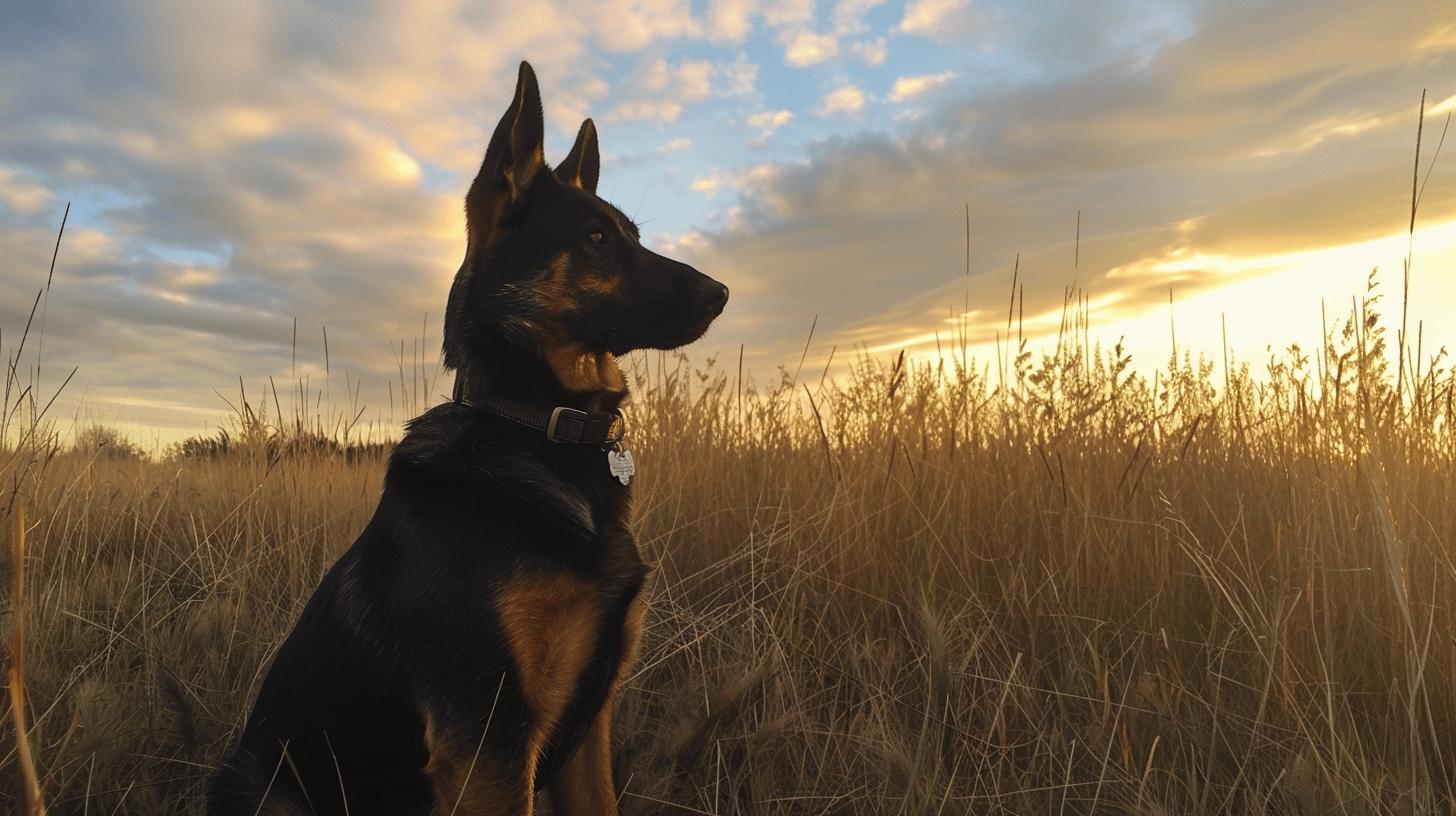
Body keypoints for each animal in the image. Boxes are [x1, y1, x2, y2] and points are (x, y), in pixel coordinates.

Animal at [208, 60, 728, 810]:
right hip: (261, 782)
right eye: (597, 238)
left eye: (630, 232)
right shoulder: (488, 742)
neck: (533, 428)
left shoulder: (589, 726)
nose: (721, 293)